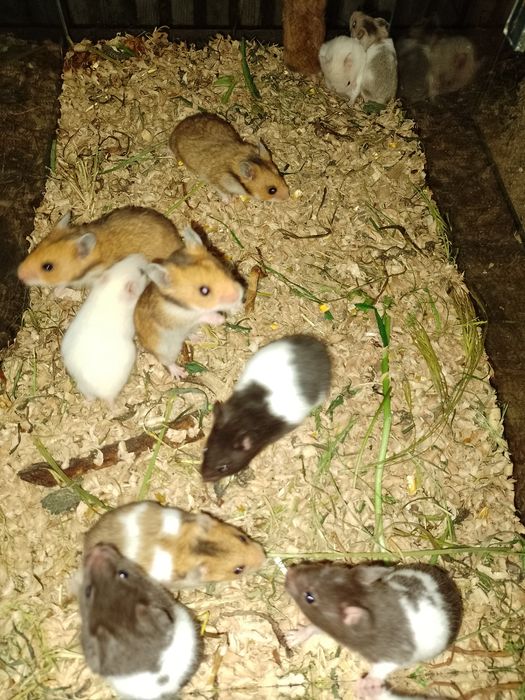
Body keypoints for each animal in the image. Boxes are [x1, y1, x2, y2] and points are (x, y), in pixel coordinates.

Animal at [134, 225, 244, 378]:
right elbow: (202, 315)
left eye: (222, 269)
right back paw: (180, 373)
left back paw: (198, 338)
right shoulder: (178, 318)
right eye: (204, 291)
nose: (239, 294)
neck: (184, 306)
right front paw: (221, 320)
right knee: (168, 362)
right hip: (165, 350)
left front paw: (237, 307)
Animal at [285, 561, 463, 699]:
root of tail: (452, 585)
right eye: (324, 567)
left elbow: (379, 670)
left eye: (309, 597)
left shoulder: (393, 657)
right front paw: (291, 637)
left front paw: (364, 686)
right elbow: (313, 627)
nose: (290, 571)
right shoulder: (330, 626)